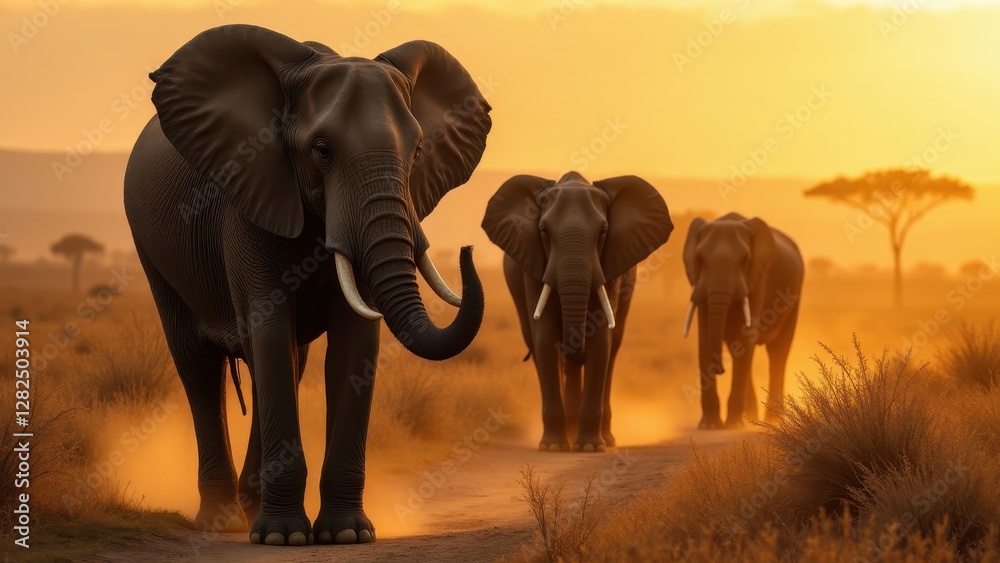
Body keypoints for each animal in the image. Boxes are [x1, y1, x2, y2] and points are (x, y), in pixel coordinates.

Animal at [123, 25, 491, 546]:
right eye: (322, 151)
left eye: (418, 152)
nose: (467, 250)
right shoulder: (250, 195)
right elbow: (269, 326)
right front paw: (283, 538)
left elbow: (353, 342)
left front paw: (346, 535)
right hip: (152, 247)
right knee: (199, 365)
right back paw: (222, 519)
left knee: (284, 363)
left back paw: (249, 505)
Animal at [482, 172, 672, 452]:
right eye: (544, 231)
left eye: (603, 232)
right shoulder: (533, 267)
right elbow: (545, 338)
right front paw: (553, 448)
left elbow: (601, 341)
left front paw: (591, 448)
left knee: (612, 351)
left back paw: (605, 438)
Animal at [681, 213, 803, 429]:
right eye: (700, 258)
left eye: (744, 259)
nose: (721, 369)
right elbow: (705, 339)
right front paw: (709, 426)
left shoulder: (758, 277)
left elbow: (745, 338)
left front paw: (733, 426)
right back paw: (752, 419)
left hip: (794, 297)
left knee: (778, 352)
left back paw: (773, 421)